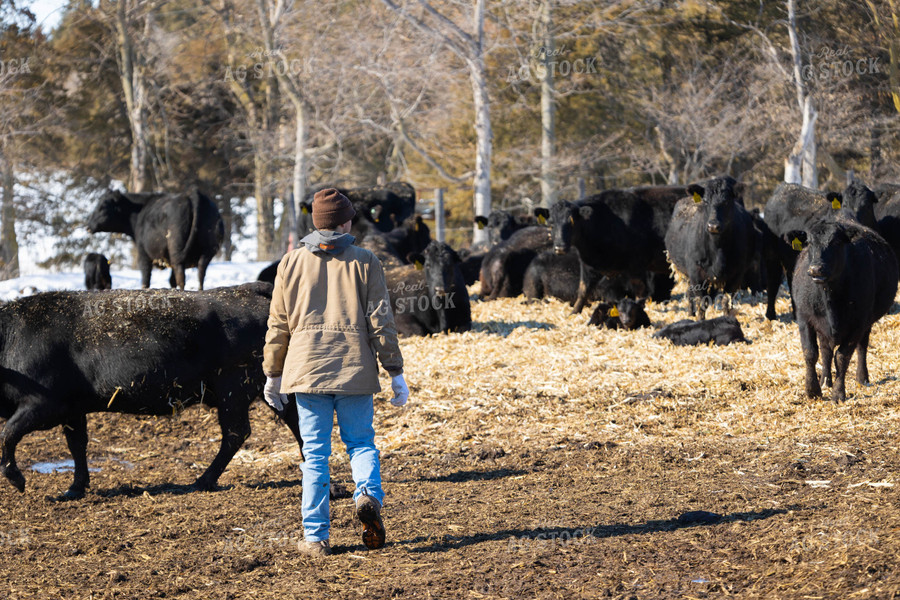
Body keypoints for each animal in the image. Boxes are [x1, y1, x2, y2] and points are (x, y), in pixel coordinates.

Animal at [0, 284, 304, 500]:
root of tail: (249, 290)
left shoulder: (45, 404)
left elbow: (7, 434)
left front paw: (16, 478)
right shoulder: (73, 409)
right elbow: (77, 444)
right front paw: (76, 486)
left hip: (233, 390)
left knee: (236, 432)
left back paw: (202, 481)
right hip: (267, 388)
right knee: (295, 420)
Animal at [86, 189, 223, 290]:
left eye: (103, 206)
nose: (88, 226)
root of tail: (192, 193)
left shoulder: (143, 253)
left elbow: (145, 278)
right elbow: (171, 281)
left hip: (176, 248)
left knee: (181, 276)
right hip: (207, 250)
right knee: (200, 273)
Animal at [792, 216, 896, 404]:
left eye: (836, 242)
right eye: (809, 242)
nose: (816, 269)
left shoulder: (858, 323)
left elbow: (842, 357)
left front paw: (838, 394)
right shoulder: (804, 317)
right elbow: (810, 352)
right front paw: (812, 390)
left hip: (867, 322)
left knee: (862, 347)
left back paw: (862, 378)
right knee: (825, 351)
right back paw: (825, 381)